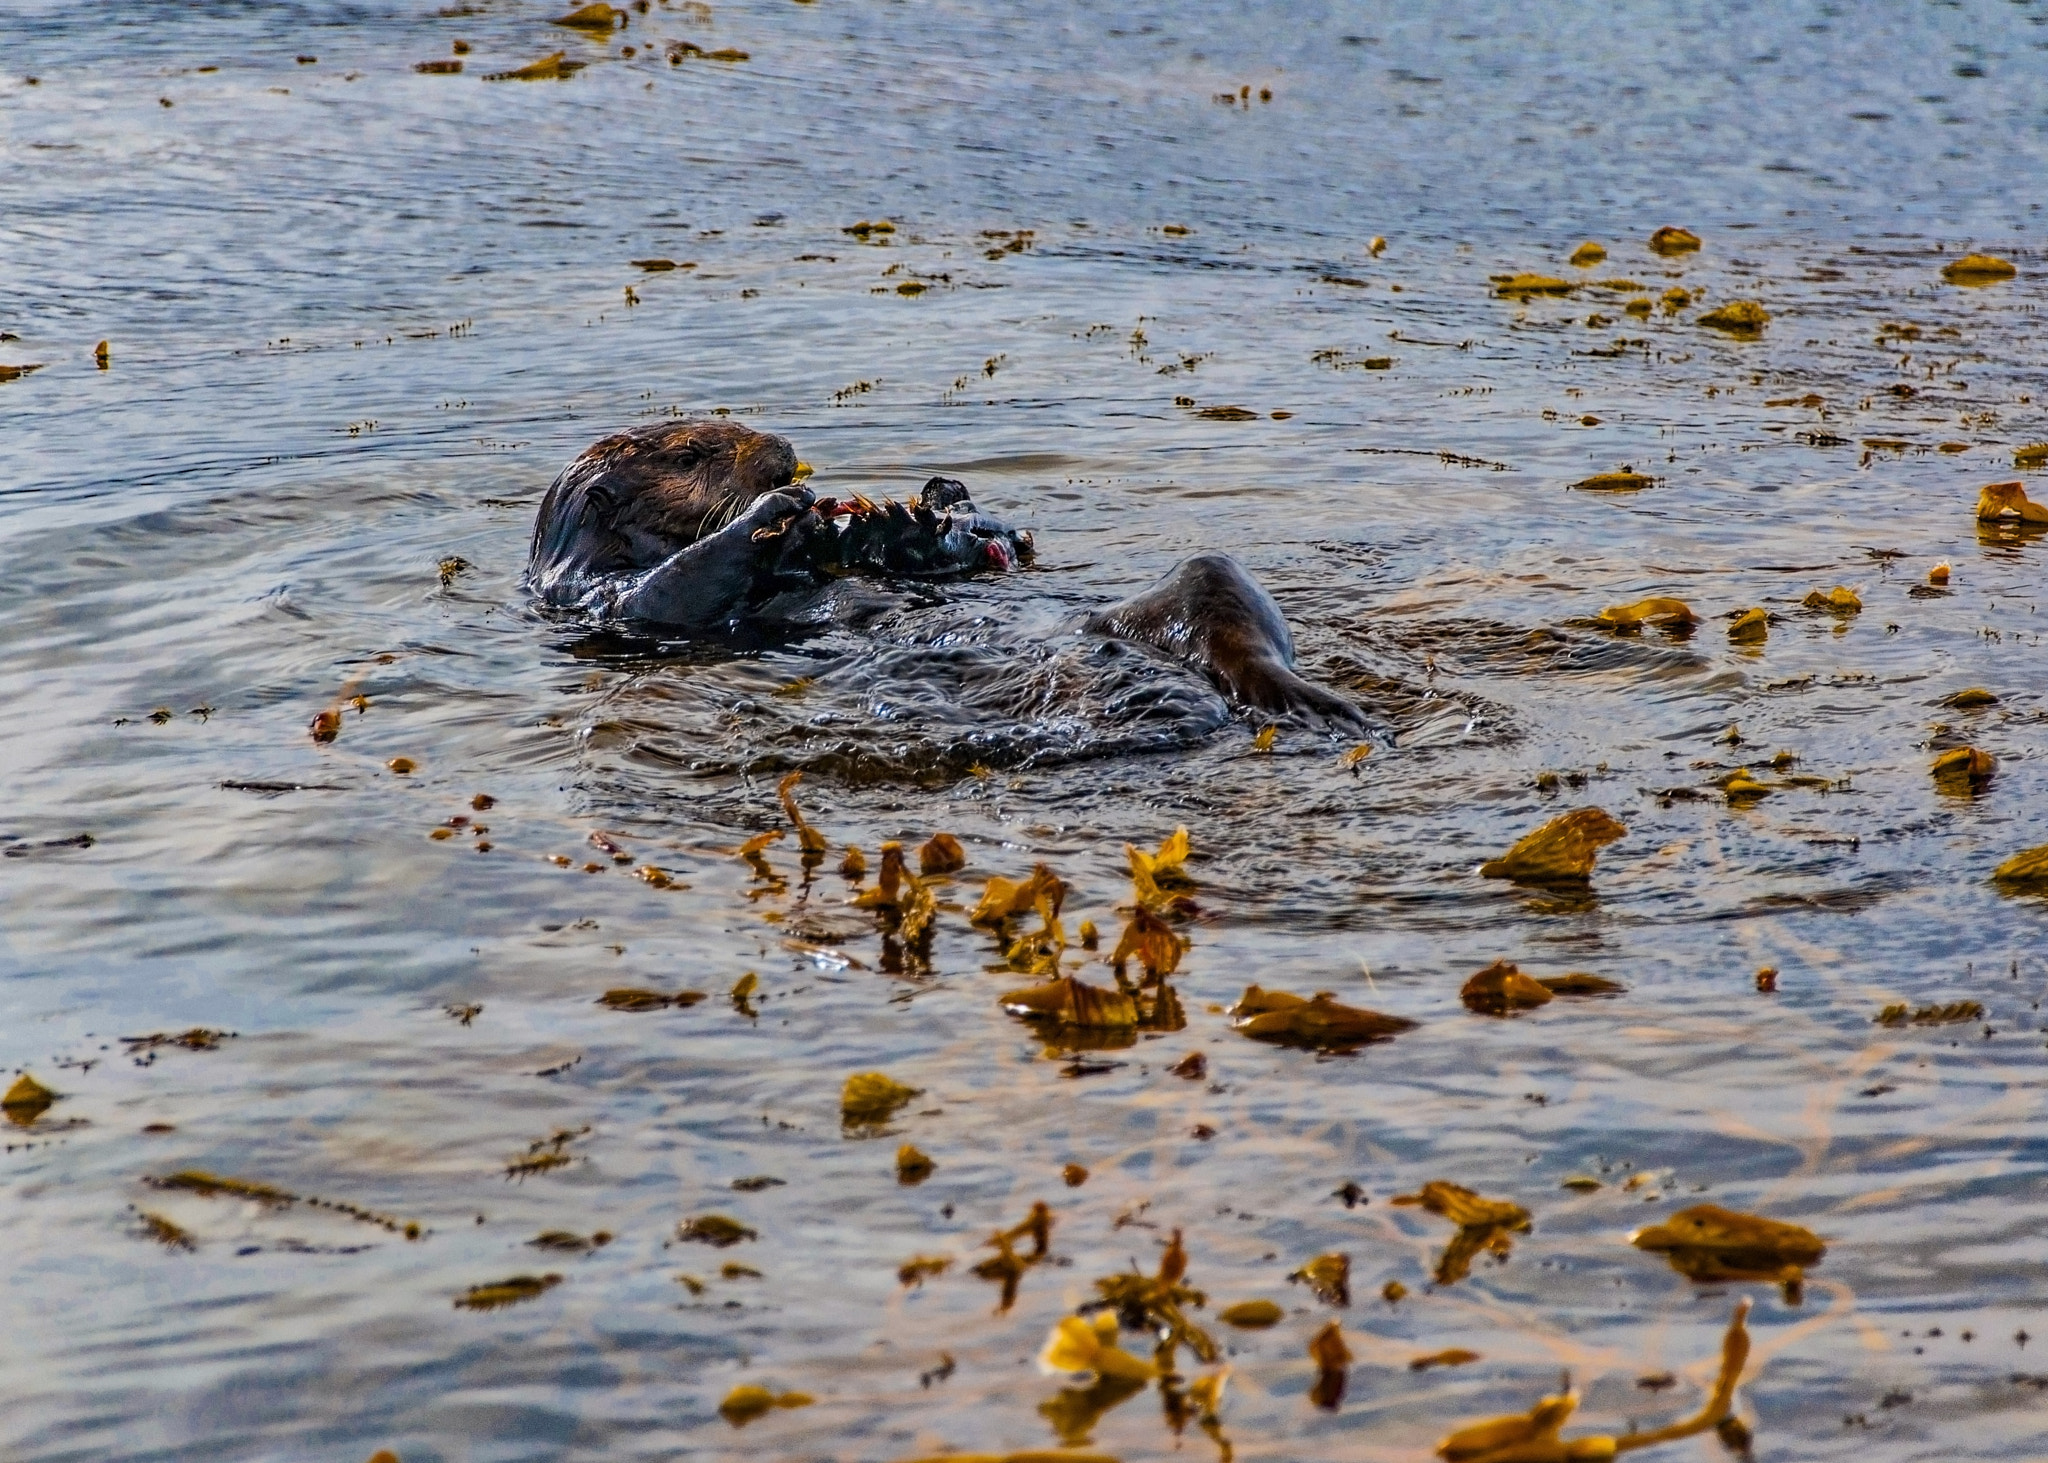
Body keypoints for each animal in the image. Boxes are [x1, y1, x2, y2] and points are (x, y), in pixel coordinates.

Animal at [528, 418, 1369, 730]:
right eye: (693, 453)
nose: (781, 452)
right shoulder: (599, 594)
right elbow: (670, 585)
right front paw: (787, 506)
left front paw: (927, 509)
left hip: (1201, 579)